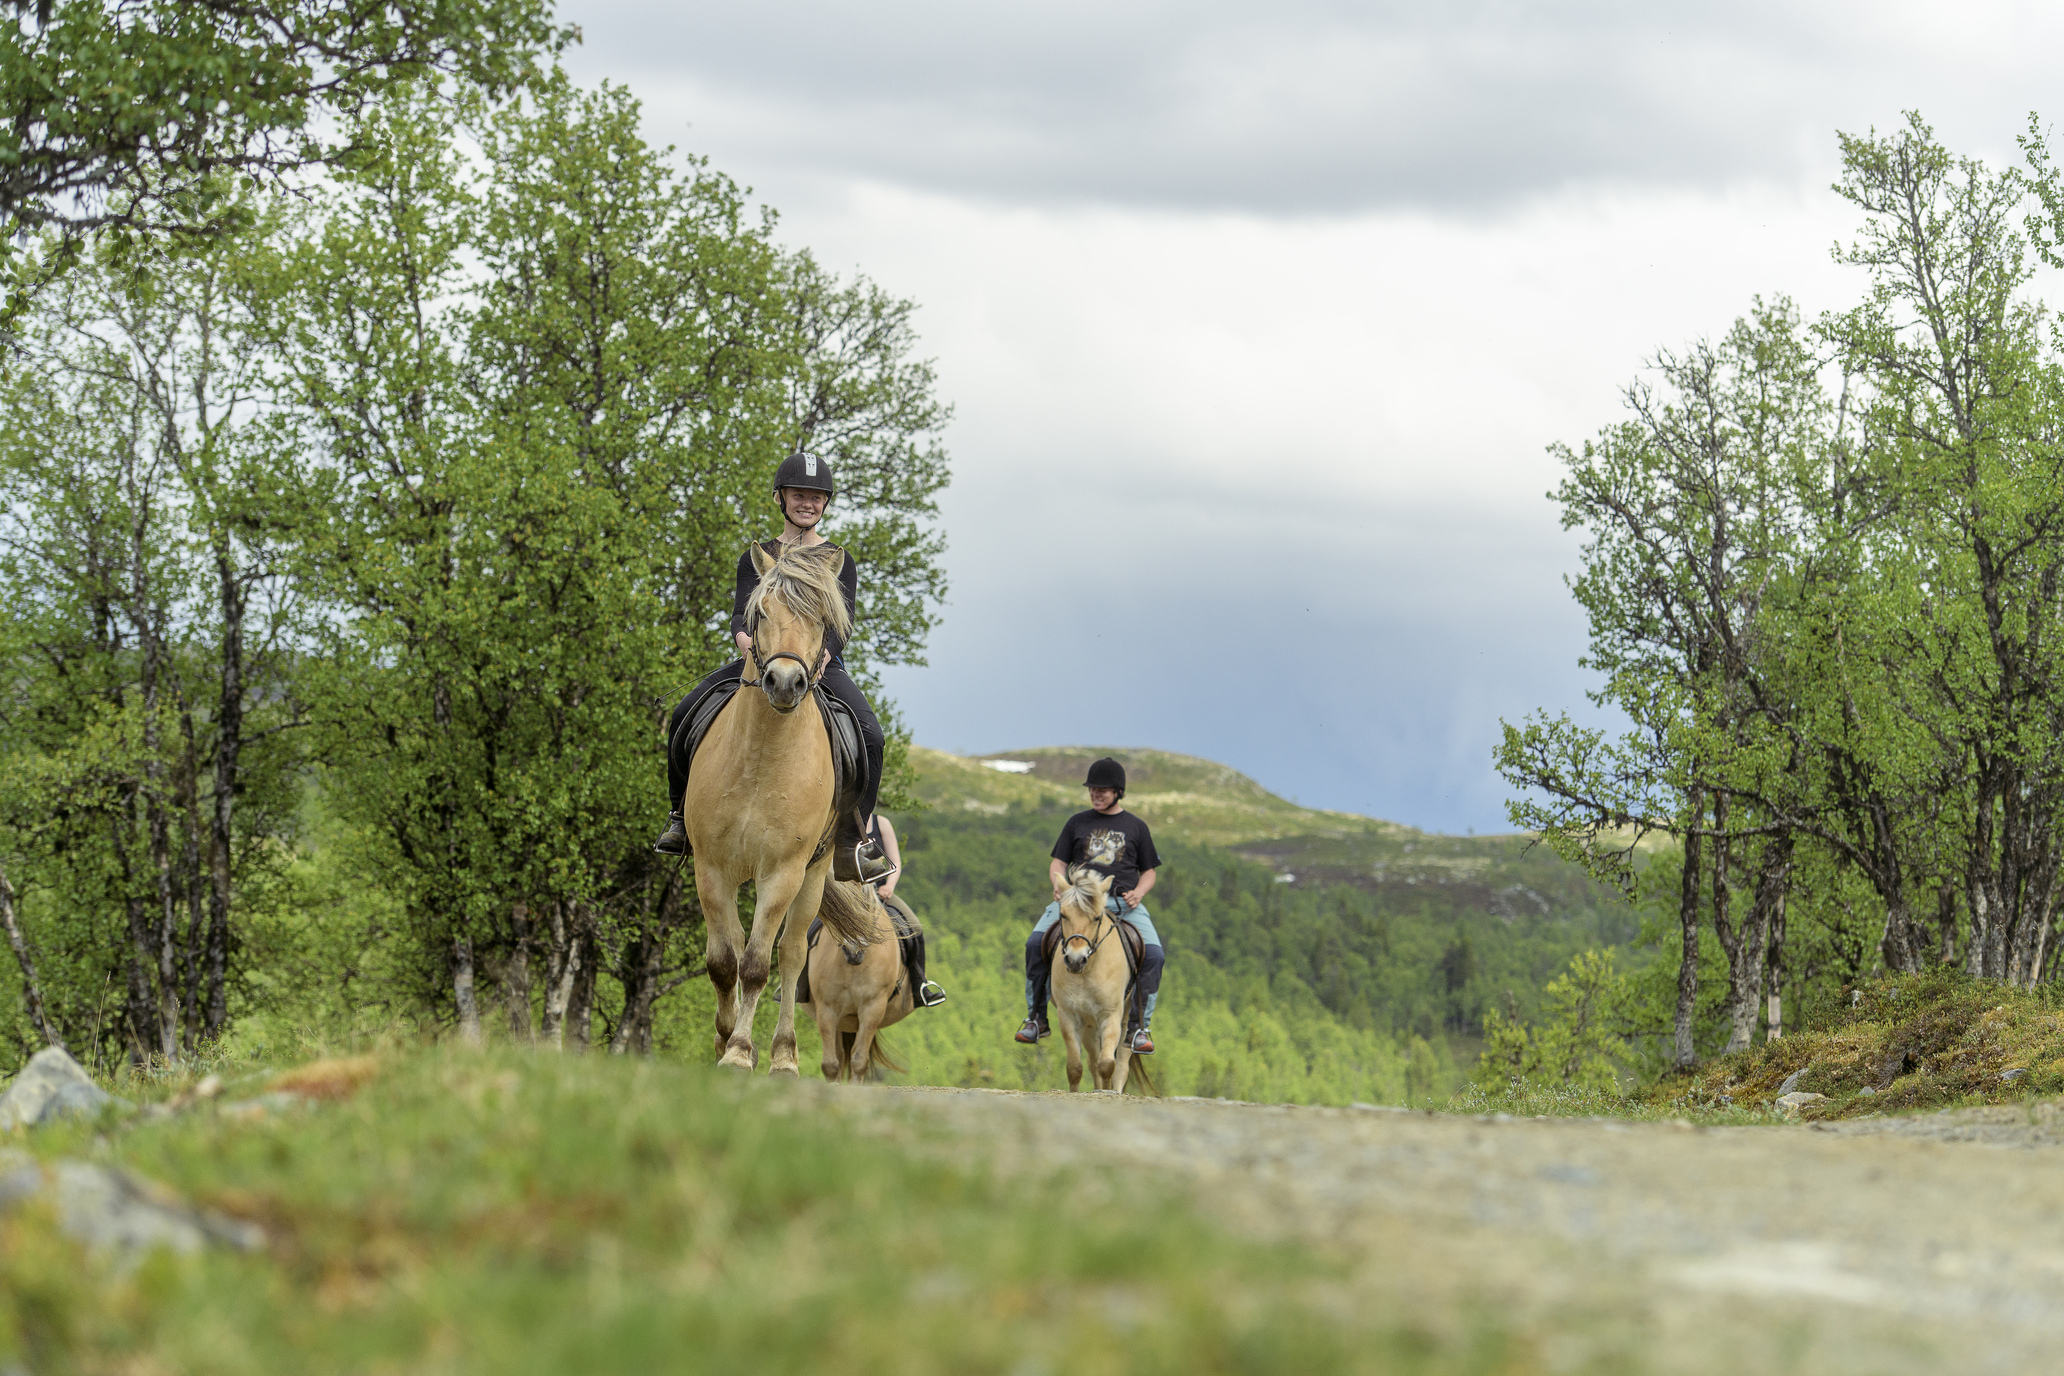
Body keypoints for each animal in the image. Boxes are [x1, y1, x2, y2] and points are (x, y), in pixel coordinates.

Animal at [681, 536, 866, 1072]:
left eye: (823, 617)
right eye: (761, 612)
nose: (784, 683)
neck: (763, 759)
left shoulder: (781, 872)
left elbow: (757, 965)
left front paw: (741, 1051)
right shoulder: (712, 868)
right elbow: (723, 961)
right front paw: (723, 1039)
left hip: (814, 873)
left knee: (790, 956)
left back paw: (784, 1055)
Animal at [800, 882, 916, 1089]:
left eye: (866, 905)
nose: (854, 950)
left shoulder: (872, 1008)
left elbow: (859, 1060)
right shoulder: (827, 1009)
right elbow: (830, 1064)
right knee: (839, 1056)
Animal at [1056, 870, 1155, 1097]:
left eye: (1096, 917)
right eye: (1063, 915)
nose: (1076, 960)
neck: (1088, 971)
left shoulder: (1111, 1015)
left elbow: (1108, 1065)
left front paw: (1107, 1092)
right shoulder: (1068, 1016)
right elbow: (1075, 1067)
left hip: (1126, 1021)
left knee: (1121, 1063)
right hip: (1089, 1026)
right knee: (1093, 1061)